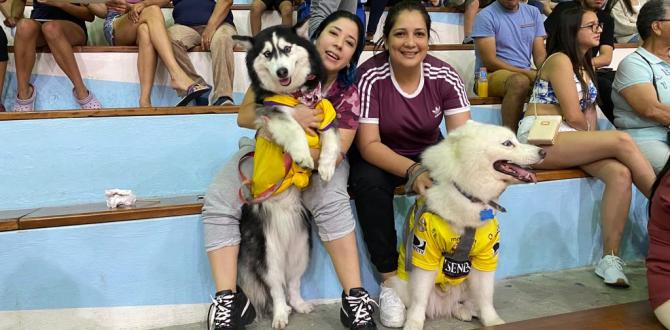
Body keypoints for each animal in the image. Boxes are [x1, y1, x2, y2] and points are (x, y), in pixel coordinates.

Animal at [392, 120, 548, 328]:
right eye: (508, 143)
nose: (543, 152)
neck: (467, 194)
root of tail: (443, 305)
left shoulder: (486, 256)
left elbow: (486, 298)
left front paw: (492, 321)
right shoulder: (425, 255)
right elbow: (419, 299)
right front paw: (413, 323)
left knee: (466, 301)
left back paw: (464, 311)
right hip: (400, 284)